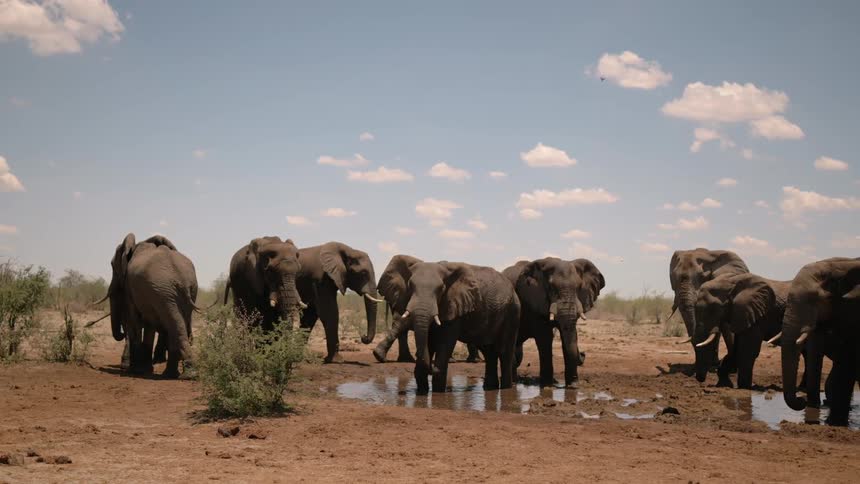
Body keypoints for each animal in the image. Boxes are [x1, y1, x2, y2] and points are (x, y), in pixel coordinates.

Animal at [92, 234, 199, 378]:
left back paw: (183, 375)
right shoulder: (146, 293)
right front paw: (145, 369)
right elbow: (148, 325)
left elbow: (134, 322)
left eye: (112, 265)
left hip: (163, 293)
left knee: (174, 325)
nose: (121, 333)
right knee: (177, 324)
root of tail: (181, 278)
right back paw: (174, 374)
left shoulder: (131, 287)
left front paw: (135, 370)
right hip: (179, 292)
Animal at [376, 255, 520, 394]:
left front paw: (438, 391)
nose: (431, 369)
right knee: (489, 352)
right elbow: (429, 339)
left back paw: (506, 389)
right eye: (410, 285)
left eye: (441, 289)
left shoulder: (453, 305)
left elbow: (445, 341)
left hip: (512, 312)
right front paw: (422, 391)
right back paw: (490, 388)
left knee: (504, 352)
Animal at [503, 257, 604, 387]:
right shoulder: (535, 302)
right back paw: (513, 383)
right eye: (552, 287)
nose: (583, 354)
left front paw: (573, 387)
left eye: (579, 287)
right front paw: (547, 386)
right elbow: (545, 337)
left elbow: (569, 335)